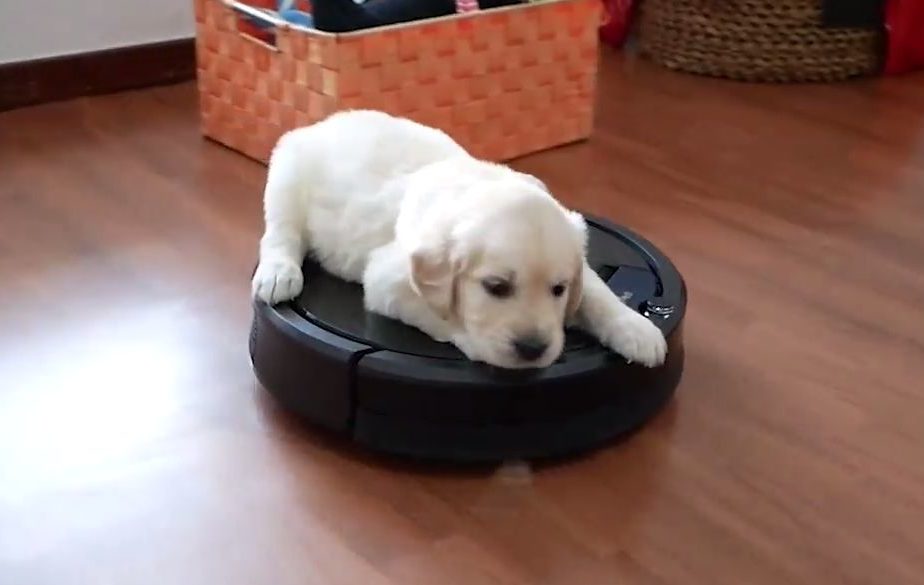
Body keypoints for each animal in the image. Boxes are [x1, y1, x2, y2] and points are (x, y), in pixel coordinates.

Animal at [251, 111, 664, 368]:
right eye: (496, 287)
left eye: (559, 289)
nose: (533, 349)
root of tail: (319, 124)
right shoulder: (387, 283)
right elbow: (442, 318)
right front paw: (478, 343)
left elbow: (597, 294)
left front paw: (637, 329)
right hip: (286, 180)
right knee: (280, 234)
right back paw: (279, 274)